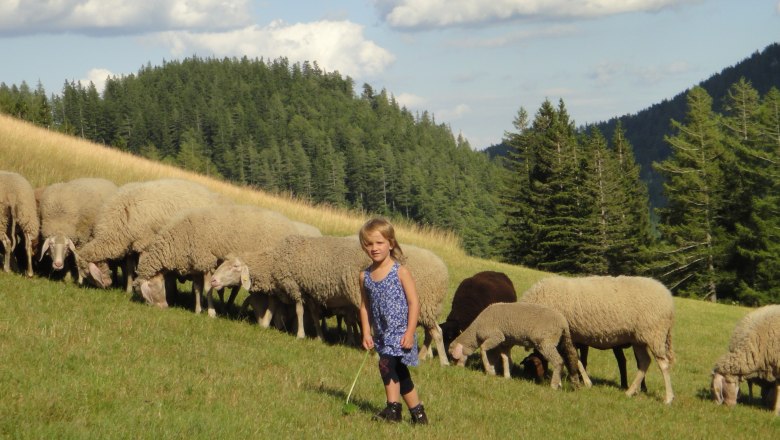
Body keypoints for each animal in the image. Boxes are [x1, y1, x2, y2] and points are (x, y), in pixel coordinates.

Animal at [75, 179, 229, 292]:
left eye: (88, 275)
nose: (106, 285)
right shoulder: (131, 245)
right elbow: (129, 269)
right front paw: (128, 289)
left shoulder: (144, 242)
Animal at [135, 205, 302, 314]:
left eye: (151, 287)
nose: (163, 307)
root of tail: (292, 227)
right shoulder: (197, 265)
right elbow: (197, 288)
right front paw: (198, 309)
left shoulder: (207, 261)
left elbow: (208, 287)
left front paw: (211, 313)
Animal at [210, 235, 450, 366]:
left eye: (234, 267)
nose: (213, 280)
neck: (275, 260)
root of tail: (443, 269)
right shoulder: (304, 291)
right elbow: (307, 314)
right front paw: (317, 337)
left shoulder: (295, 286)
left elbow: (299, 311)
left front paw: (300, 335)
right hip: (425, 309)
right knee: (432, 332)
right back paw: (427, 357)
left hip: (422, 305)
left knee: (437, 332)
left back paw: (443, 362)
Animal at [444, 302, 592, 388]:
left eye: (453, 356)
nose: (456, 368)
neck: (475, 330)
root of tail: (563, 322)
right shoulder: (504, 342)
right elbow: (505, 358)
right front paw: (506, 376)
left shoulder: (496, 336)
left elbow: (483, 349)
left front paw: (489, 370)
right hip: (559, 342)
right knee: (569, 359)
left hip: (545, 342)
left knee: (559, 361)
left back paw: (554, 385)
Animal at [516, 276, 676, 404]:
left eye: (530, 367)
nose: (524, 380)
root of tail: (668, 297)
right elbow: (575, 360)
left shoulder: (565, 335)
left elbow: (574, 359)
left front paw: (584, 382)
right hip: (639, 339)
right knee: (644, 362)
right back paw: (630, 392)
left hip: (654, 333)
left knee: (663, 364)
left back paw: (668, 398)